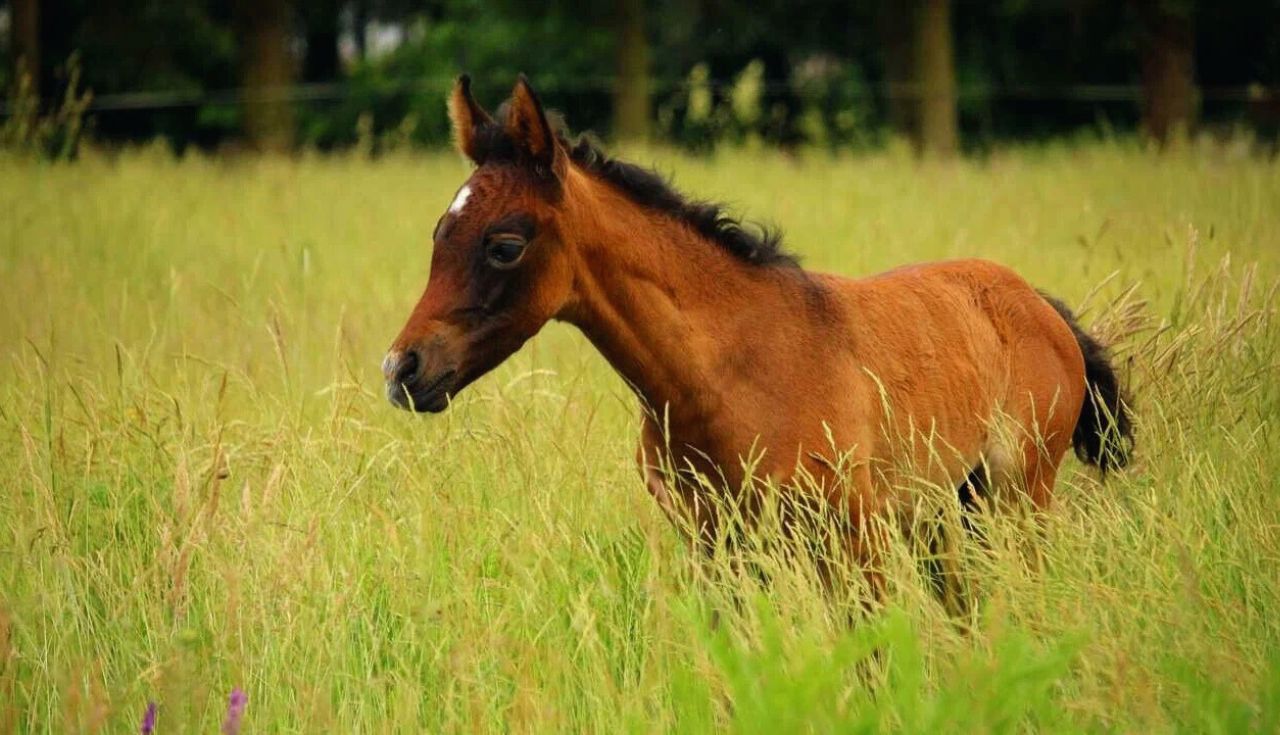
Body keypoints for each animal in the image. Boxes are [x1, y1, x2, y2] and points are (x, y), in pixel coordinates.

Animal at [378, 74, 1131, 594]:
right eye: (440, 233)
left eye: (504, 245)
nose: (402, 369)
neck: (723, 375)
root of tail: (1041, 305)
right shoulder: (718, 548)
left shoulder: (852, 538)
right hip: (952, 514)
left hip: (1017, 500)